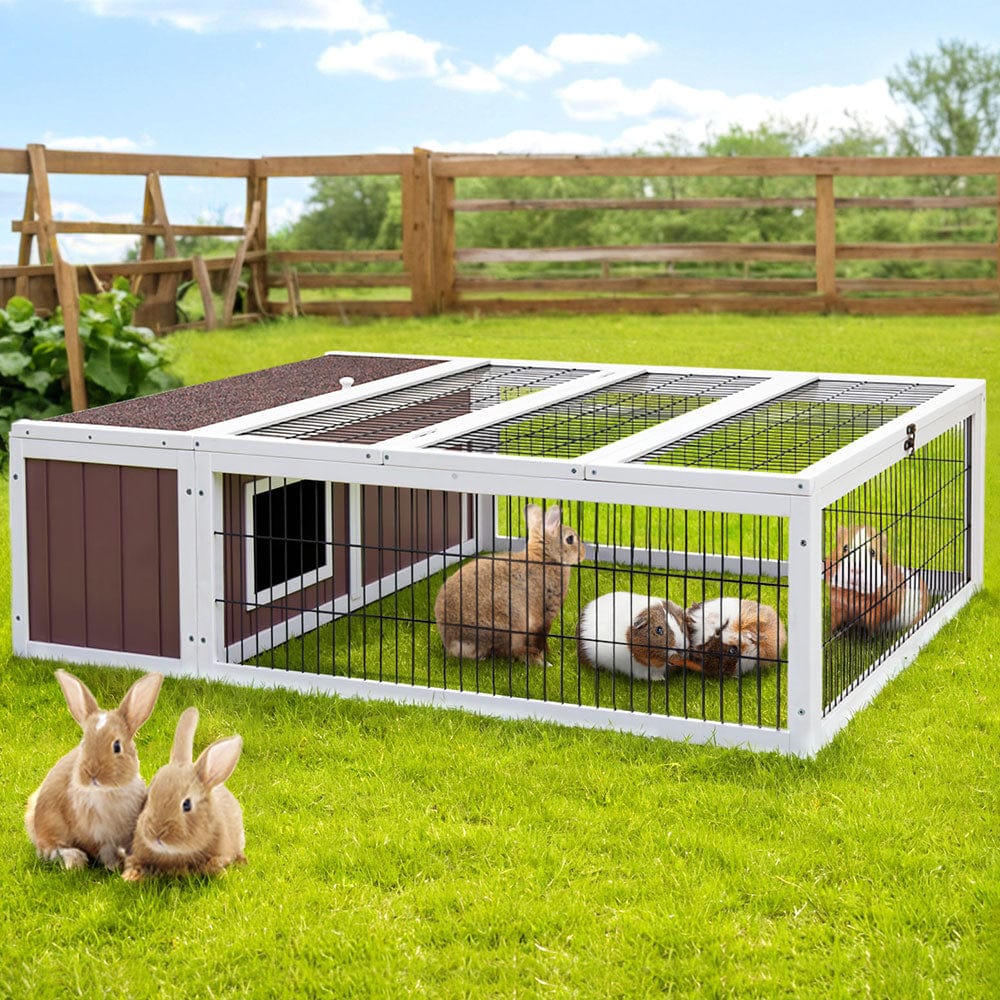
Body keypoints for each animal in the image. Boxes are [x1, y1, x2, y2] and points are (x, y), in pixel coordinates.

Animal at [24, 669, 163, 870]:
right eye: (84, 744)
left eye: (117, 746)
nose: (91, 774)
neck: (108, 791)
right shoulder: (96, 837)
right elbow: (104, 851)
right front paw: (114, 866)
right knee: (50, 849)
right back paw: (75, 859)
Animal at [434, 503, 586, 667]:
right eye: (570, 539)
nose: (583, 553)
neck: (546, 558)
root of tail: (455, 642)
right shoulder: (544, 615)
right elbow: (540, 637)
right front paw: (547, 653)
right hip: (511, 622)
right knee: (506, 651)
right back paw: (537, 660)